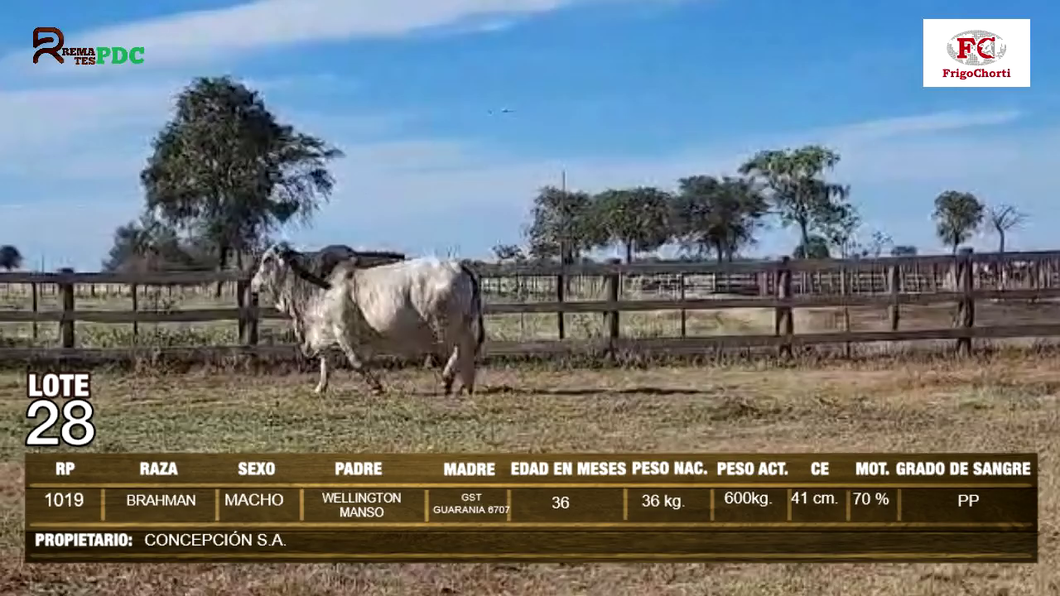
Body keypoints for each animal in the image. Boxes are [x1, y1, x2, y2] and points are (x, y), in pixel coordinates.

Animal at [248, 241, 485, 394]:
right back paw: (458, 382)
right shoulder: (324, 331)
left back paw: (457, 382)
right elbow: (325, 361)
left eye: (267, 260)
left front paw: (376, 386)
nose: (253, 283)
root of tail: (459, 265)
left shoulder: (342, 330)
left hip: (447, 324)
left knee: (461, 347)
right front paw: (320, 387)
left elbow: (355, 360)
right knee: (465, 348)